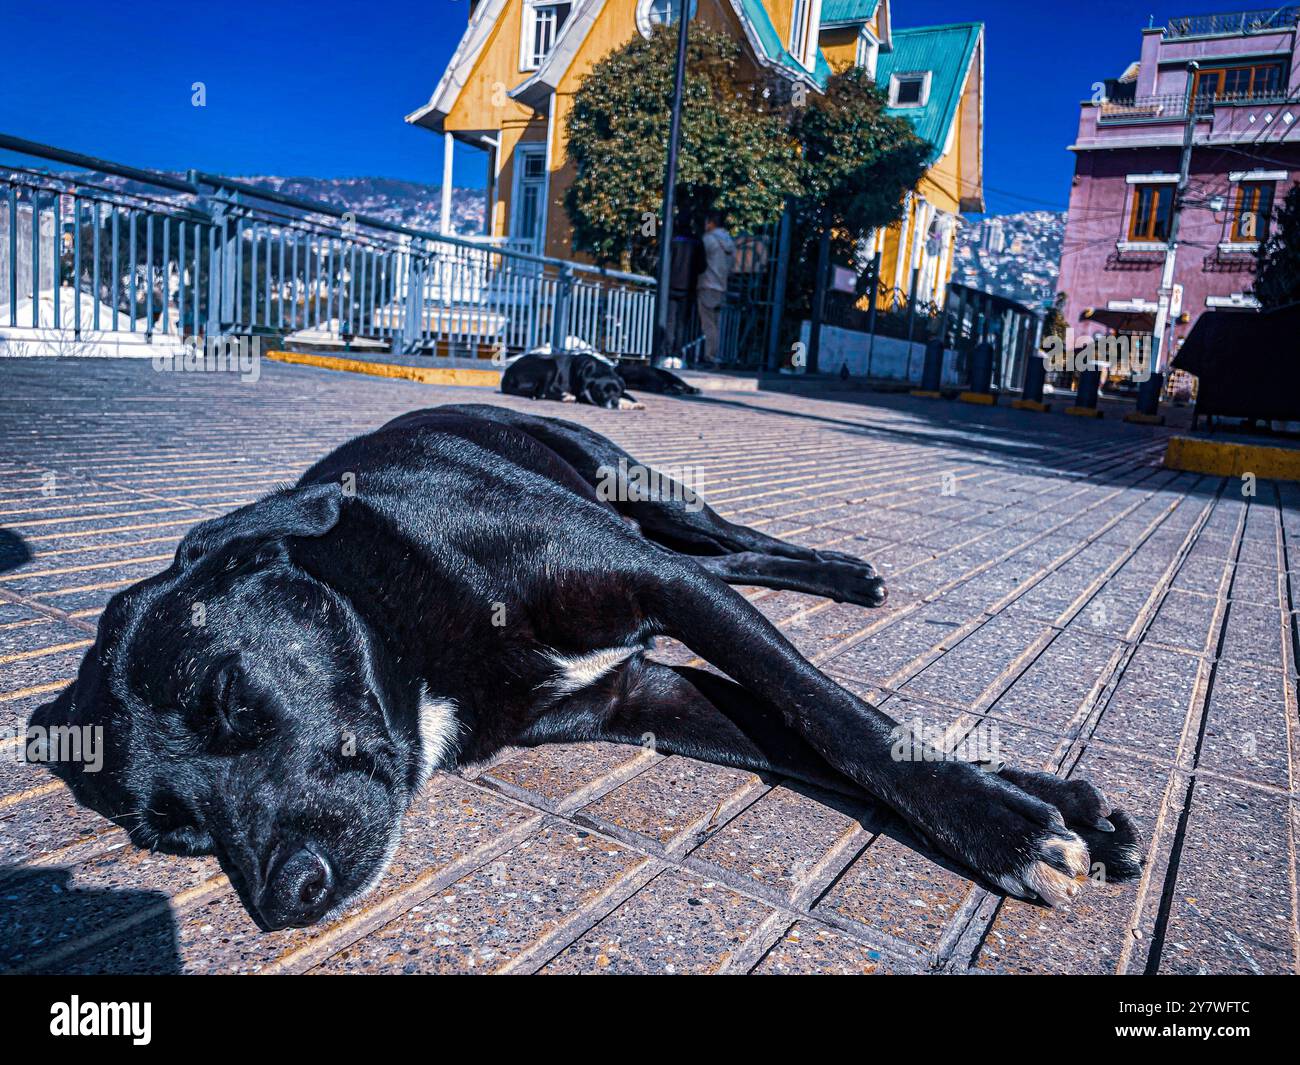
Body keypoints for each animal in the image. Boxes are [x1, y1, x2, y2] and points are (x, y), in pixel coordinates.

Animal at [30, 403, 1144, 931]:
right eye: (174, 836)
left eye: (229, 697)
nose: (283, 898)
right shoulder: (645, 688)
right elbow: (798, 734)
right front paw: (1050, 804)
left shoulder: (657, 586)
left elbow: (831, 714)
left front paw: (1005, 826)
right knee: (727, 557)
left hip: (632, 483)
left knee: (727, 538)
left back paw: (836, 570)